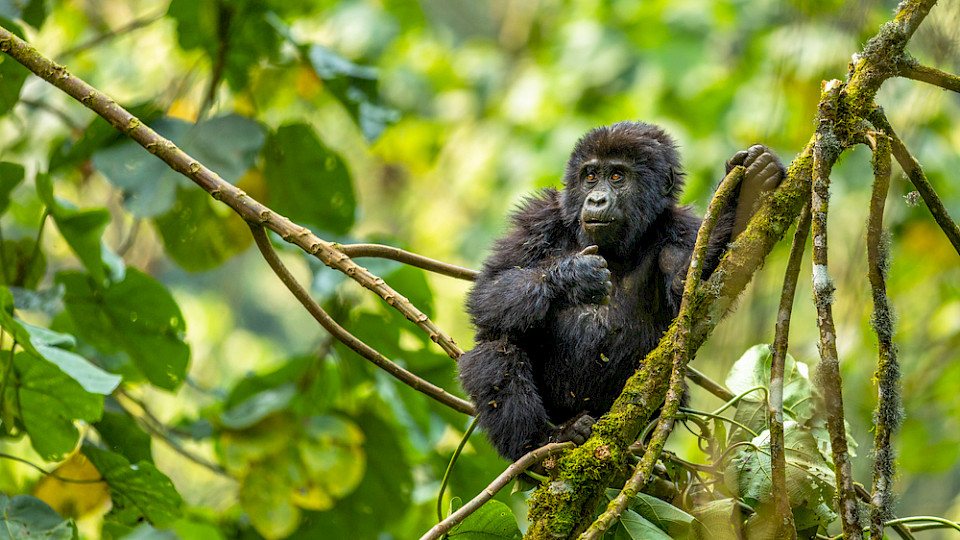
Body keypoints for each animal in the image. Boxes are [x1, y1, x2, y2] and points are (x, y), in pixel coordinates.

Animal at [457, 121, 784, 460]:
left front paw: (741, 194)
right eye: (590, 176)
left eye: (617, 176)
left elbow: (692, 291)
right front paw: (575, 276)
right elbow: (489, 291)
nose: (596, 200)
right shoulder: (538, 218)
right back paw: (543, 440)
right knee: (497, 345)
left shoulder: (682, 228)